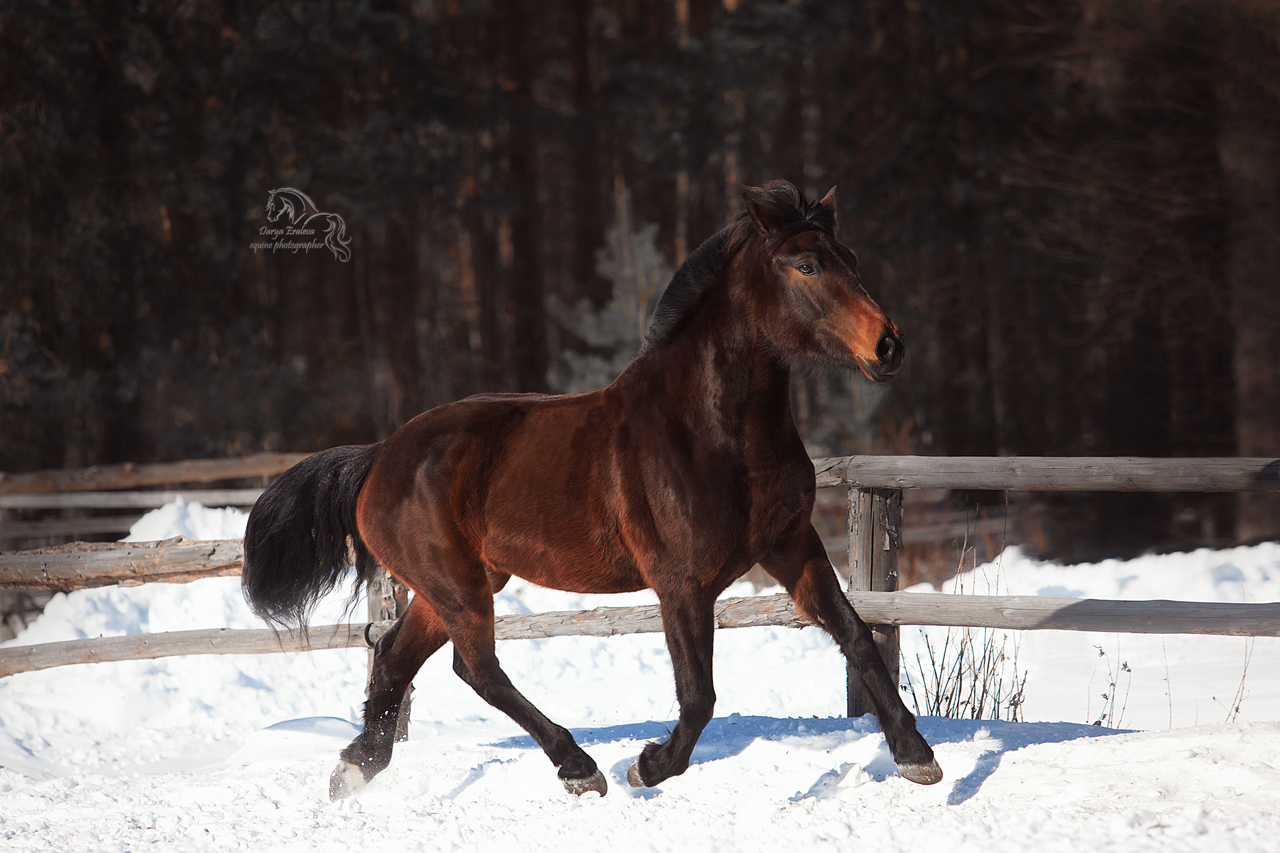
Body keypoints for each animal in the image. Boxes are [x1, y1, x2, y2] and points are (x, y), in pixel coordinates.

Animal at [242, 179, 942, 801]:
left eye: (850, 260)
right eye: (806, 264)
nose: (890, 345)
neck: (712, 433)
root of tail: (379, 457)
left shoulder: (792, 547)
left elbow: (858, 636)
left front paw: (917, 755)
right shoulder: (680, 581)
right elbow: (699, 697)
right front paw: (648, 766)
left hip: (455, 584)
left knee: (395, 657)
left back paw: (355, 768)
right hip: (456, 586)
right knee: (476, 669)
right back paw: (579, 768)